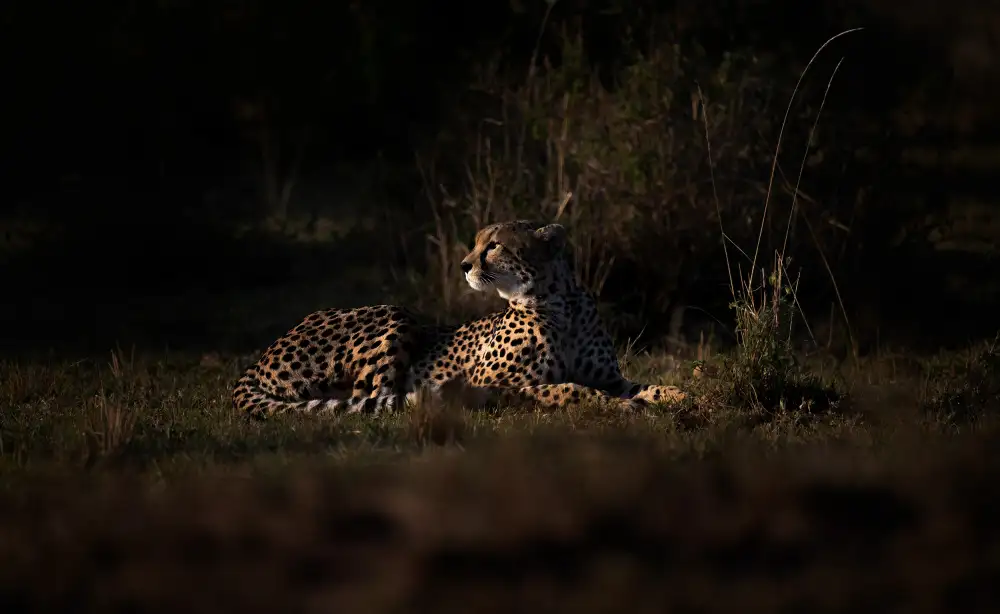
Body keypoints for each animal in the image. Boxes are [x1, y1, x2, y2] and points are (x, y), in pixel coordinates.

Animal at [232, 220, 686, 419]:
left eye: (495, 245)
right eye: (477, 242)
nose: (465, 265)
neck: (561, 304)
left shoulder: (609, 374)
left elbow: (640, 384)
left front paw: (674, 394)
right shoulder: (490, 384)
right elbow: (565, 388)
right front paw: (617, 406)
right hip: (395, 313)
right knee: (373, 398)